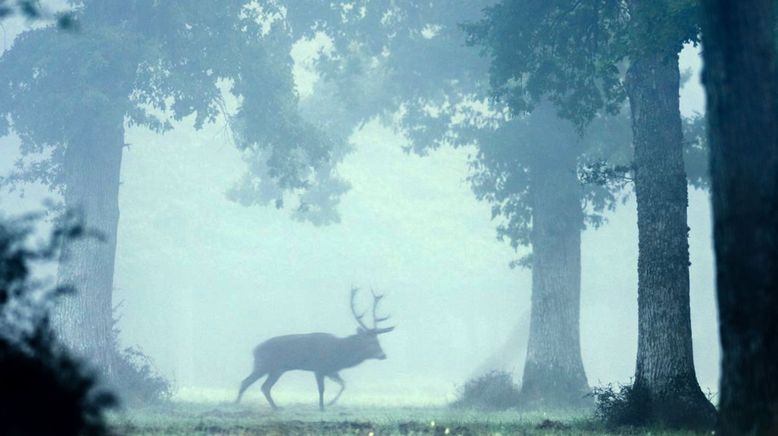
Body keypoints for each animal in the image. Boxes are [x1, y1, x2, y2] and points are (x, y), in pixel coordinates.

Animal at [232, 288, 394, 410]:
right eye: (370, 342)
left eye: (378, 341)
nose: (383, 355)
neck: (340, 354)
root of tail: (254, 349)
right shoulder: (319, 367)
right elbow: (322, 389)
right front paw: (322, 407)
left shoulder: (331, 370)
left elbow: (343, 384)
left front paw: (330, 403)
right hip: (263, 365)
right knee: (247, 382)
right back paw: (237, 403)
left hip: (277, 369)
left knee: (264, 387)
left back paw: (275, 407)